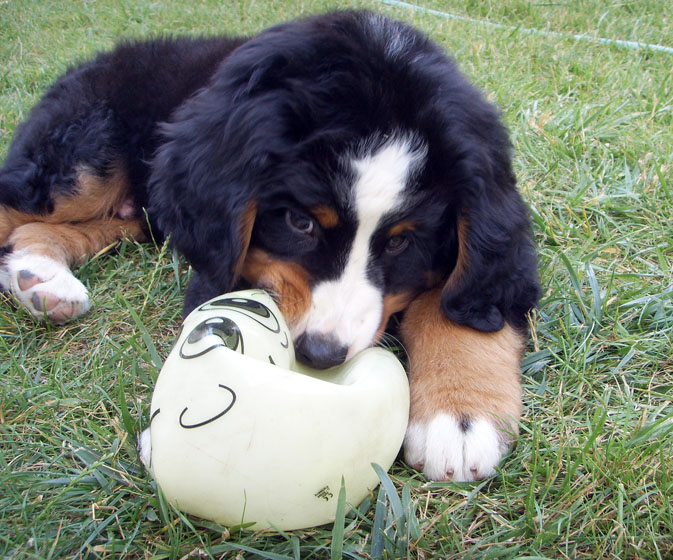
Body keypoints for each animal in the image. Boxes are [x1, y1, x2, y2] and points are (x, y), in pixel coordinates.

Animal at [0, 10, 538, 481]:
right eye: (300, 222)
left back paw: (39, 276)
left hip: (135, 210)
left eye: (401, 242)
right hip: (87, 152)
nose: (320, 354)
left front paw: (461, 418)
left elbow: (461, 303)